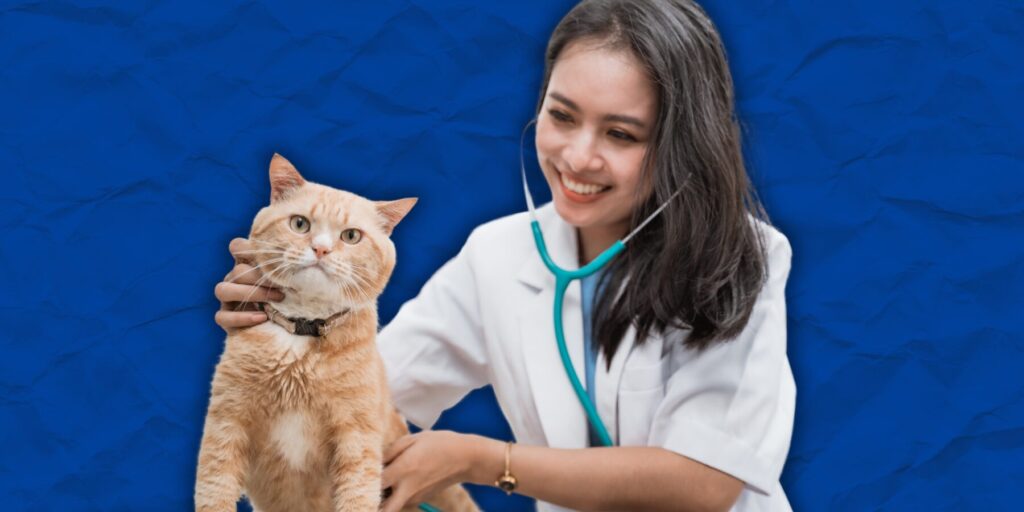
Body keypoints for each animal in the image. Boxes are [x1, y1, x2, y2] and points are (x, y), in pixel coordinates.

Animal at [195, 154, 479, 512]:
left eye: (351, 236)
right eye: (300, 224)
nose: (321, 249)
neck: (301, 337)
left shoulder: (357, 440)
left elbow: (357, 497)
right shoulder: (226, 424)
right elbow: (213, 492)